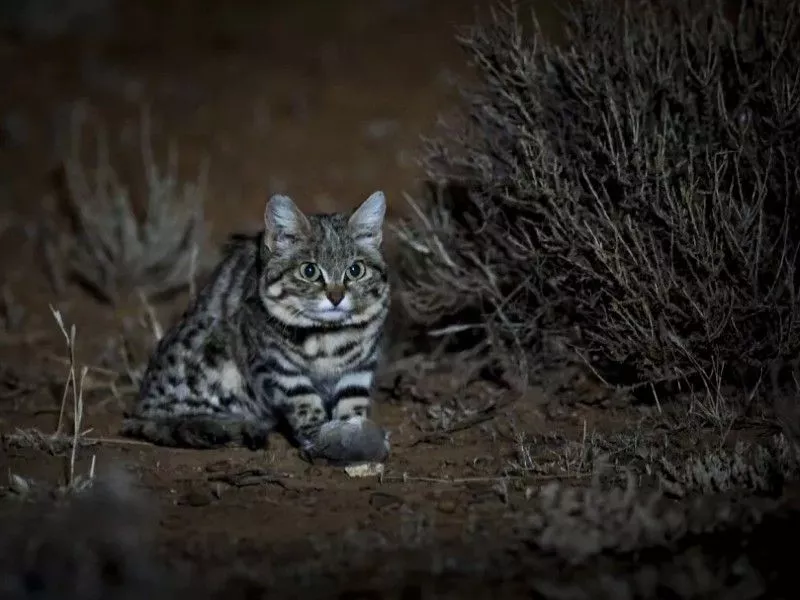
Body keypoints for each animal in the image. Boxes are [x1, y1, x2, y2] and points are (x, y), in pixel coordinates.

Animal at [121, 192, 390, 454]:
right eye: (309, 271)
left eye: (355, 270)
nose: (336, 297)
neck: (329, 336)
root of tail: (139, 410)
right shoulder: (277, 367)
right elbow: (304, 402)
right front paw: (318, 437)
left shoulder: (360, 367)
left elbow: (352, 402)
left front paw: (354, 434)